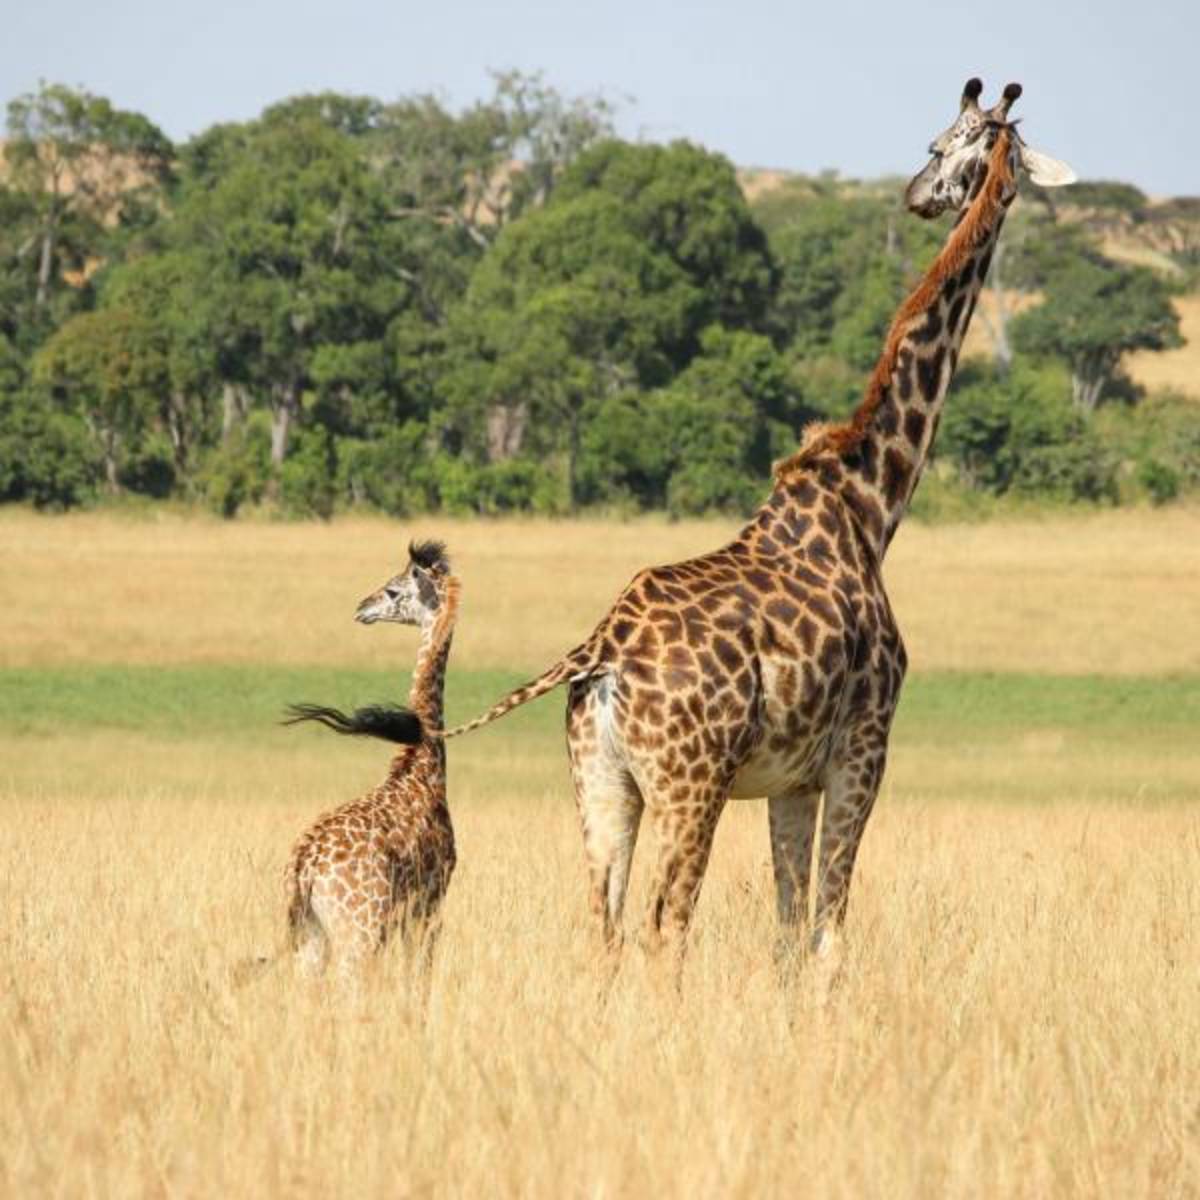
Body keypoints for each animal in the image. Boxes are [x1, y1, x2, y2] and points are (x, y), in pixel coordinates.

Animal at [280, 540, 459, 978]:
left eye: (393, 591)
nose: (362, 607)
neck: (422, 765)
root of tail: (304, 868)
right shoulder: (431, 901)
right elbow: (418, 976)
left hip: (311, 938)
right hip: (359, 932)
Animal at [385, 81, 1075, 965]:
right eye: (943, 143)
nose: (920, 195)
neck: (871, 504)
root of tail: (598, 651)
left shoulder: (791, 779)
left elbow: (787, 930)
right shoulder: (864, 748)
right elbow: (827, 930)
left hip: (601, 783)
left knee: (605, 926)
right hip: (693, 784)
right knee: (665, 924)